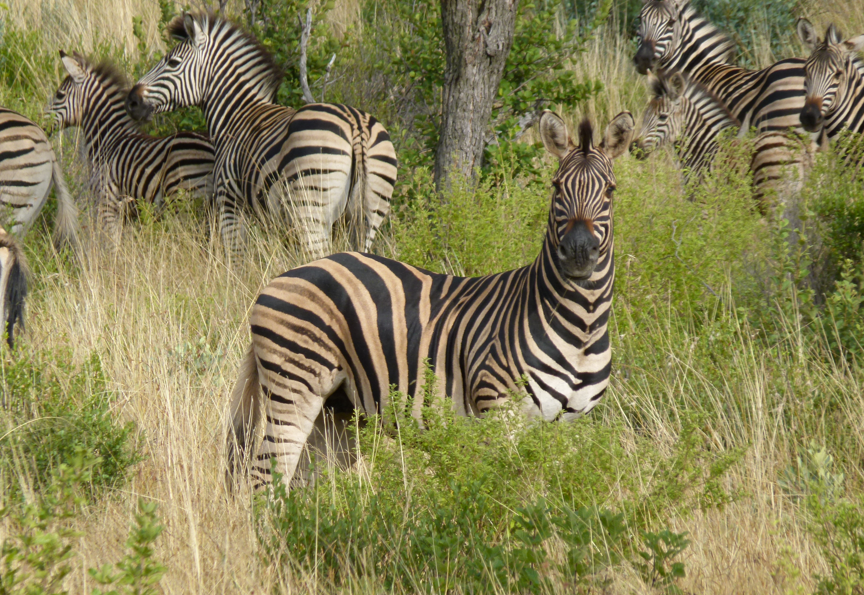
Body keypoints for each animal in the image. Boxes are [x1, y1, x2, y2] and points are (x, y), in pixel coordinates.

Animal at [49, 52, 215, 245]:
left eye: (60, 95)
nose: (41, 122)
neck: (107, 139)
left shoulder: (107, 203)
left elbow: (112, 245)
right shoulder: (126, 212)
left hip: (184, 201)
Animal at [124, 12, 398, 261]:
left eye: (173, 62)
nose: (132, 100)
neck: (235, 115)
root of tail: (356, 125)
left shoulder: (229, 202)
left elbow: (236, 260)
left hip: (311, 206)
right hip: (368, 215)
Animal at [225, 110, 635, 490]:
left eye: (610, 191)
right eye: (556, 186)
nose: (578, 253)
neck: (581, 326)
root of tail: (283, 277)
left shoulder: (568, 425)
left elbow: (549, 495)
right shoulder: (499, 411)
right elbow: (509, 491)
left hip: (337, 409)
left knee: (306, 484)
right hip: (294, 385)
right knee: (264, 477)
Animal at [632, 71, 814, 204]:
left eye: (662, 117)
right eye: (645, 114)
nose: (634, 148)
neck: (701, 150)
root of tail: (800, 150)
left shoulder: (704, 200)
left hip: (771, 195)